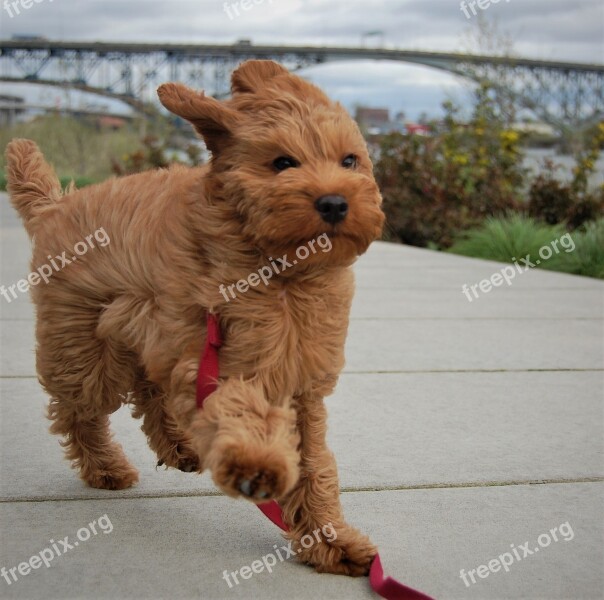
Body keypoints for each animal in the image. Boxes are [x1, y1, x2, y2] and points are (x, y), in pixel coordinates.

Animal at [3, 58, 382, 576]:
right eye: (282, 162)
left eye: (349, 161)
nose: (335, 203)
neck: (282, 271)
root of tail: (54, 204)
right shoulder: (221, 357)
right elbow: (241, 411)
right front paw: (257, 465)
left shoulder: (301, 384)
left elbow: (314, 464)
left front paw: (330, 540)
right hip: (86, 345)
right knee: (78, 412)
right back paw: (107, 467)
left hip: (145, 332)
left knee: (148, 390)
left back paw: (179, 445)